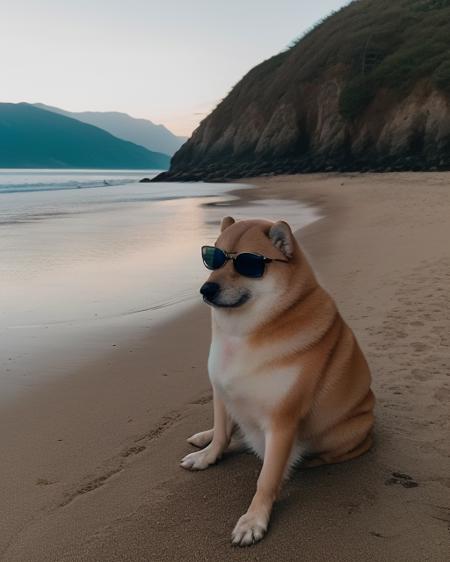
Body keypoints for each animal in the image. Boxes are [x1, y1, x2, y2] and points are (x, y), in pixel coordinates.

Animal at [181, 217, 374, 544]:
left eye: (248, 264)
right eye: (212, 257)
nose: (206, 288)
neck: (246, 333)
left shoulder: (282, 421)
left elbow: (267, 478)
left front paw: (254, 519)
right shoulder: (221, 392)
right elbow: (221, 435)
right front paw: (208, 455)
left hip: (348, 430)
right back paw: (206, 438)